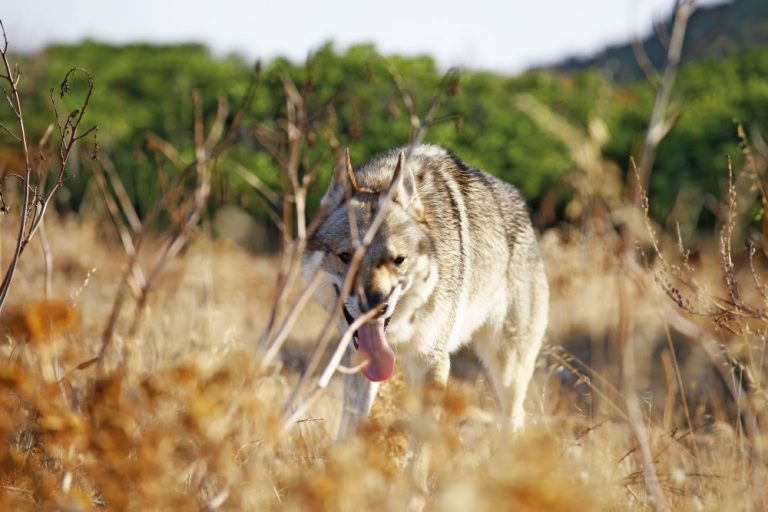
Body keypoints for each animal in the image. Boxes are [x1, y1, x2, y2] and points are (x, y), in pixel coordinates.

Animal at [304, 143, 548, 436]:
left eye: (398, 260)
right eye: (346, 256)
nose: (377, 306)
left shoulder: (433, 362)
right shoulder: (359, 361)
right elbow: (350, 429)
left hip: (508, 368)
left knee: (515, 418)